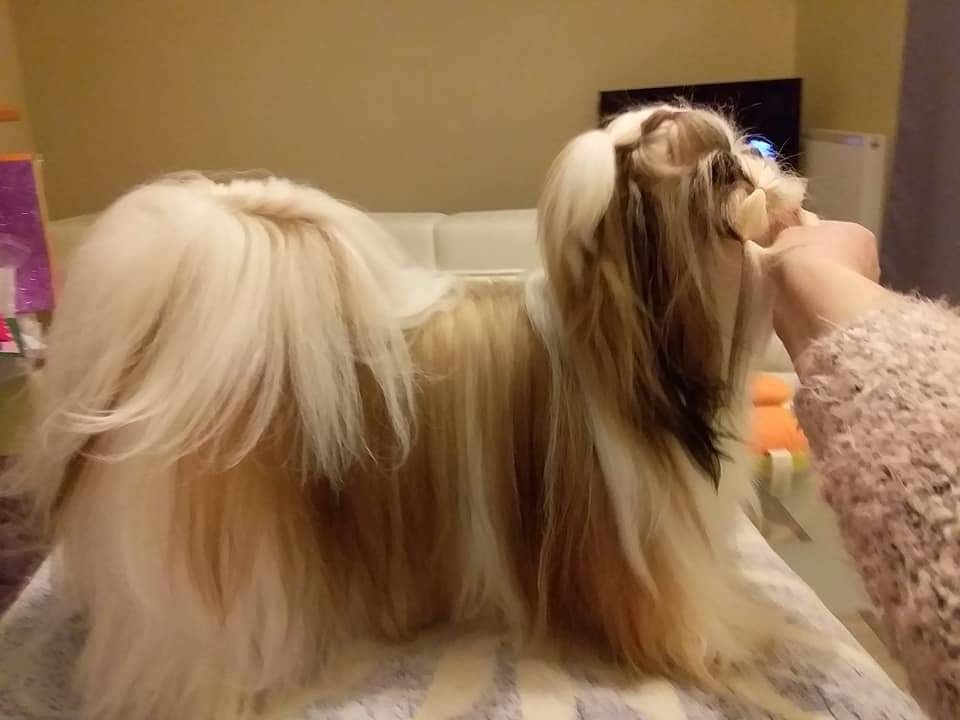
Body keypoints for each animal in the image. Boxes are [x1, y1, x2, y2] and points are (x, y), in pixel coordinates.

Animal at [9, 104, 807, 719]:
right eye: (724, 173)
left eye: (745, 150)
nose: (769, 170)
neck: (631, 348)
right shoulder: (648, 542)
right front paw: (735, 638)